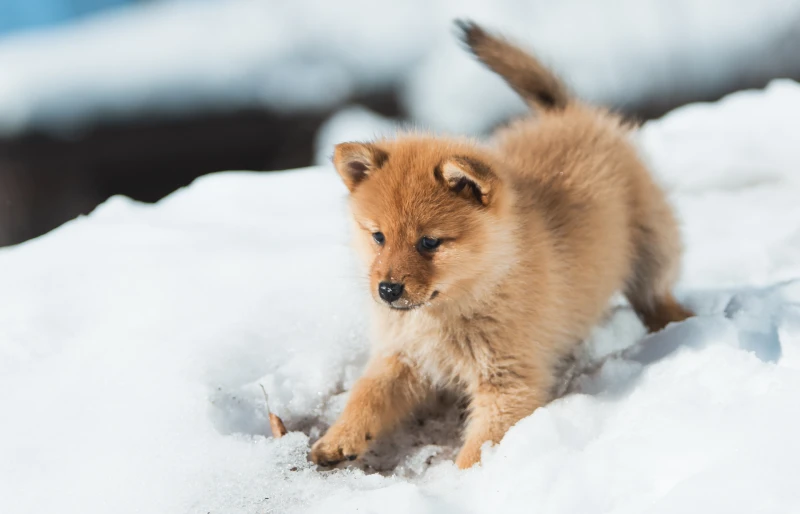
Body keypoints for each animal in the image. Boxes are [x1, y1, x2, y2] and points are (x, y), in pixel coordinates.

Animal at [310, 20, 692, 468]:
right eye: (378, 237)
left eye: (429, 242)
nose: (387, 290)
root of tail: (569, 114)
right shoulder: (400, 356)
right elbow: (366, 395)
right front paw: (340, 437)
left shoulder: (508, 379)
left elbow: (480, 447)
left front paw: (464, 477)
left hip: (653, 243)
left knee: (655, 292)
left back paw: (676, 321)